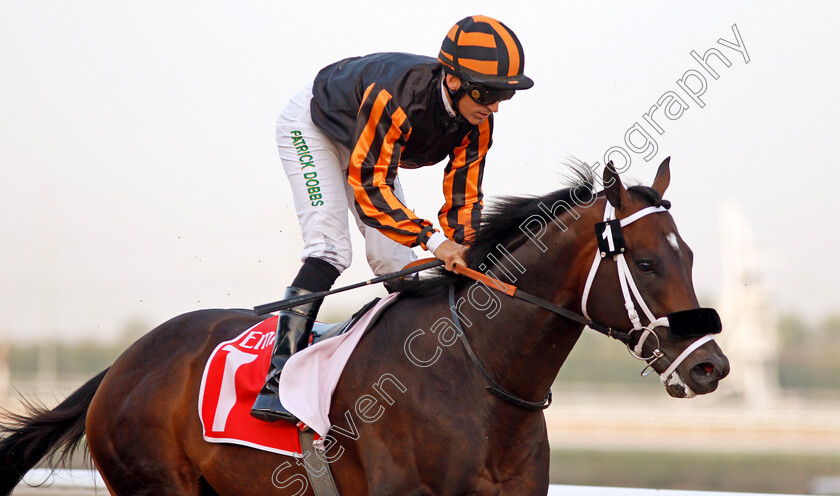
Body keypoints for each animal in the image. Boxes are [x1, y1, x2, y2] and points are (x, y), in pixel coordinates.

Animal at [0, 160, 728, 496]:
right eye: (647, 261)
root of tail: (122, 364)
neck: (478, 377)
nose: (709, 365)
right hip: (154, 482)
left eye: (691, 256)